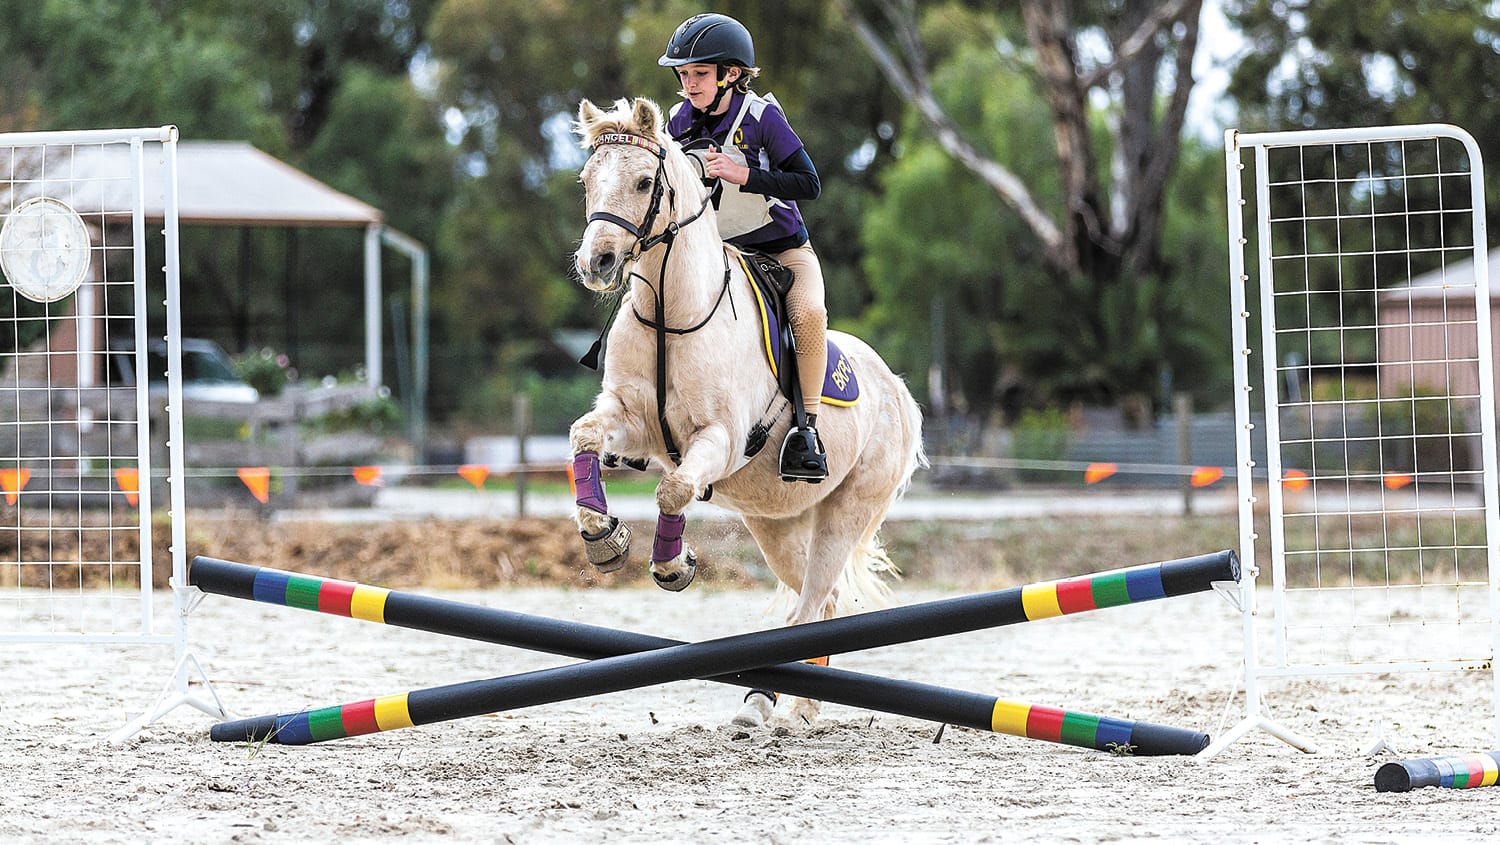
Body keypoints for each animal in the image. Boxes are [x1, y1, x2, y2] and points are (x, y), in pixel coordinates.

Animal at [569, 97, 924, 726]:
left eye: (643, 182)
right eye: (588, 181)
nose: (598, 263)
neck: (670, 312)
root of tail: (898, 390)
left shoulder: (722, 439)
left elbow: (673, 491)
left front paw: (672, 566)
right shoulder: (630, 423)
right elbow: (582, 437)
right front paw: (604, 538)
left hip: (846, 509)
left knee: (812, 601)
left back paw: (784, 705)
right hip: (776, 523)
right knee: (819, 599)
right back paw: (775, 701)